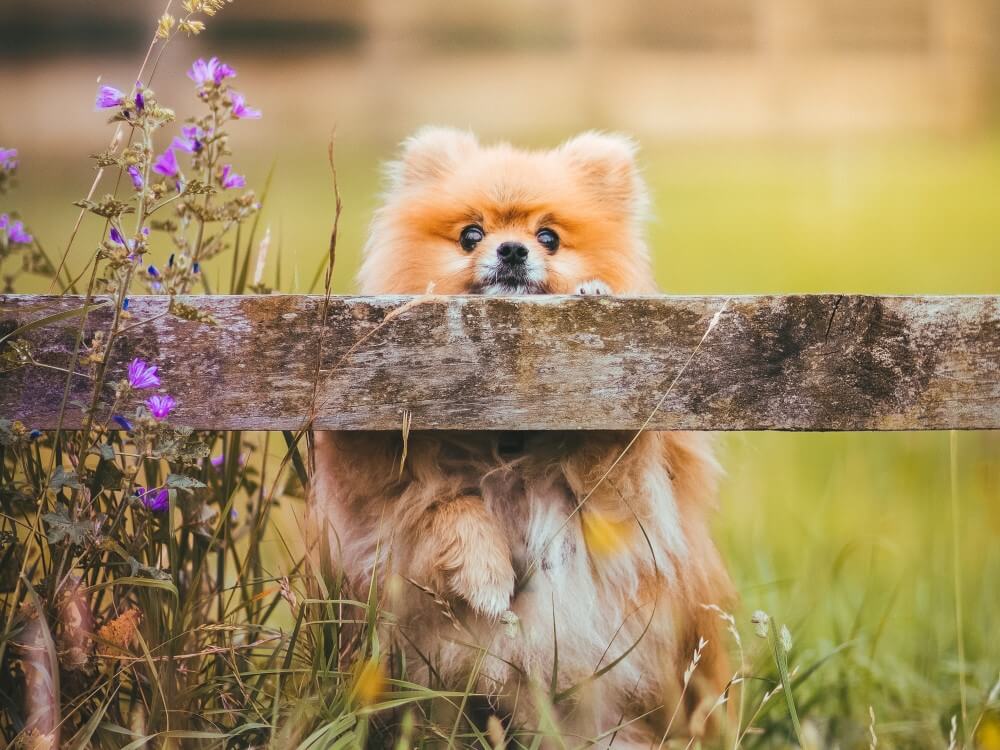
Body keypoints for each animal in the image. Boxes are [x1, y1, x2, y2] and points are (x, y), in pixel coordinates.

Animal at [312, 129, 736, 748]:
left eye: (548, 237)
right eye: (471, 234)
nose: (512, 251)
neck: (509, 430)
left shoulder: (631, 508)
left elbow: (609, 453)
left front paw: (593, 293)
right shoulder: (374, 503)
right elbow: (443, 502)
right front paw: (487, 573)